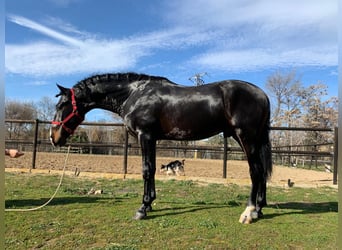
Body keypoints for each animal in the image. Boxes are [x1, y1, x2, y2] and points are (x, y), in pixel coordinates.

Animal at [50, 72, 272, 223]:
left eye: (61, 106)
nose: (53, 137)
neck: (133, 94)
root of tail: (262, 94)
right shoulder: (152, 139)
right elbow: (153, 169)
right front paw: (149, 204)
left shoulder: (145, 135)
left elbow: (146, 170)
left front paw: (142, 209)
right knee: (261, 171)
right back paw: (259, 209)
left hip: (246, 137)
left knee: (255, 171)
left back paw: (249, 212)